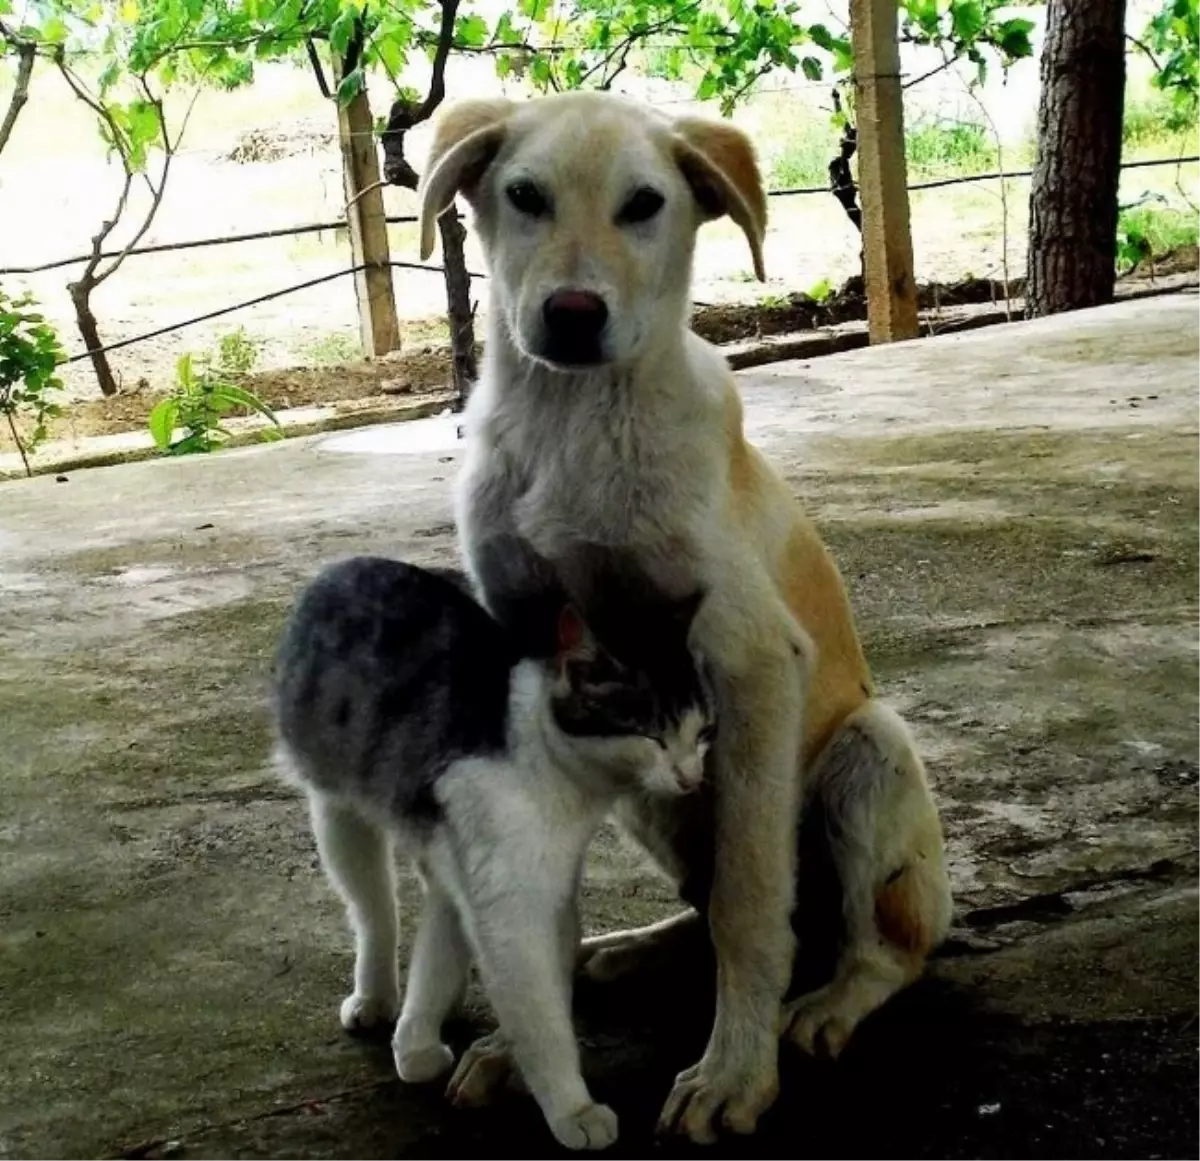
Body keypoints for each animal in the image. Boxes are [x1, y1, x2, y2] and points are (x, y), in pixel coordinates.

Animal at [274, 558, 710, 1146]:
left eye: (701, 733)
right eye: (653, 736)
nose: (691, 777)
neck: (551, 762)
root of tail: (347, 564)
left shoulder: (526, 875)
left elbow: (461, 950)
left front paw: (418, 1041)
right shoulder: (510, 900)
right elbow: (541, 1015)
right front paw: (573, 1110)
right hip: (337, 804)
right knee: (373, 909)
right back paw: (376, 996)